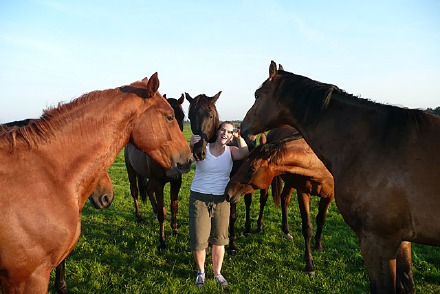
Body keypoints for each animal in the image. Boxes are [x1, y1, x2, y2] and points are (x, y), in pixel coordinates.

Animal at [124, 93, 186, 248]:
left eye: (182, 116)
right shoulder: (159, 183)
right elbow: (162, 213)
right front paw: (162, 241)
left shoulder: (176, 181)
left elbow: (174, 206)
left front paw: (175, 230)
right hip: (131, 171)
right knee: (135, 191)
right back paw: (139, 216)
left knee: (148, 190)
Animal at [227, 124, 334, 276]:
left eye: (251, 169)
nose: (228, 191)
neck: (317, 164)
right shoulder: (303, 192)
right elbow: (307, 228)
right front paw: (309, 265)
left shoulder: (329, 195)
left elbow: (321, 220)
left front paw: (318, 245)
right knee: (267, 200)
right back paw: (265, 228)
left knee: (285, 199)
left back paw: (286, 231)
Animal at [239, 60, 440, 292]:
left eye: (257, 95)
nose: (243, 128)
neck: (372, 143)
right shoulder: (396, 240)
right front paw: (309, 264)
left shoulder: (379, 240)